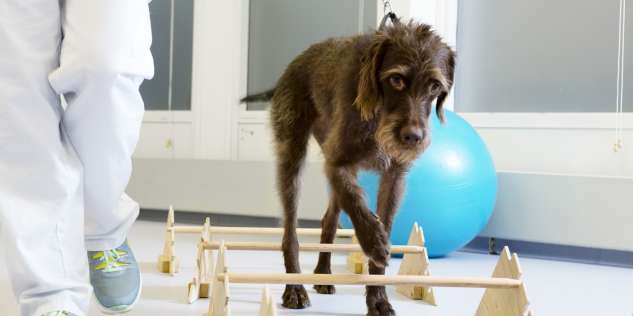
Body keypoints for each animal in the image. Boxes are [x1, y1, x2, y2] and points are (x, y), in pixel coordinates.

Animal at [242, 21, 454, 314]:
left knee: (329, 219)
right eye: (396, 80)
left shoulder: (394, 177)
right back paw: (294, 287)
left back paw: (323, 272)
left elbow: (379, 220)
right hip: (292, 157)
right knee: (290, 232)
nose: (412, 137)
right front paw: (373, 241)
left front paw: (378, 298)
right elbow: (356, 202)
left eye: (434, 86)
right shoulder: (337, 163)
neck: (377, 115)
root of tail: (290, 68)